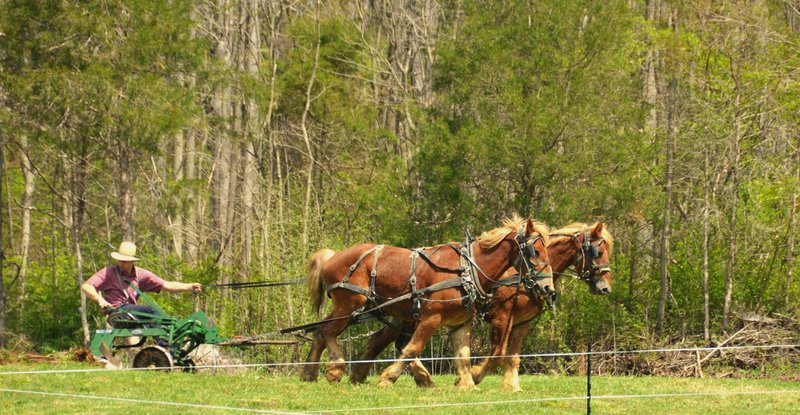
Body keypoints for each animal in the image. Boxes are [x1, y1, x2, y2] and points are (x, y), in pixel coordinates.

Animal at [301, 216, 555, 389]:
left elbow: (463, 354)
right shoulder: (431, 317)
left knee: (320, 332)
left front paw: (467, 383)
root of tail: (332, 257)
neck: (466, 270)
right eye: (535, 251)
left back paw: (309, 374)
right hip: (350, 304)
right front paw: (388, 378)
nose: (548, 288)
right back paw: (335, 368)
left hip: (354, 307)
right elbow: (413, 347)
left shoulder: (459, 322)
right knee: (327, 331)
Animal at [349, 222, 613, 391]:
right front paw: (473, 377)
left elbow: (513, 356)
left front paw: (511, 386)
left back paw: (366, 375)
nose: (605, 288)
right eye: (597, 251)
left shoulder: (522, 323)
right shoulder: (502, 317)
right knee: (400, 343)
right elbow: (497, 354)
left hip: (405, 315)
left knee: (385, 341)